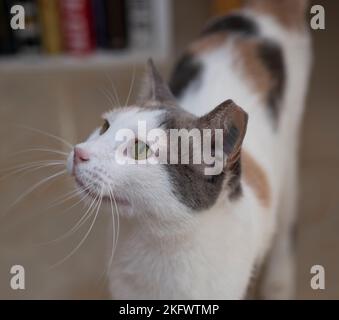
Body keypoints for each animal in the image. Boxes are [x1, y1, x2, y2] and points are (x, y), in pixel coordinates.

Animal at [66, 0, 314, 300]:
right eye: (104, 126)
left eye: (139, 149)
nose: (79, 152)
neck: (158, 247)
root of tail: (263, 10)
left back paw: (279, 284)